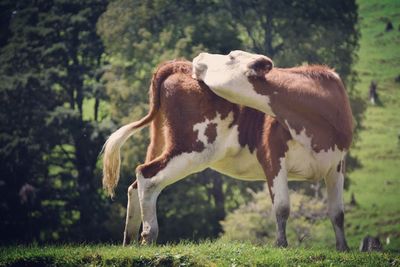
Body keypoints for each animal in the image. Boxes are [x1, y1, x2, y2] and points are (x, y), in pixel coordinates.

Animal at [194, 49, 354, 251]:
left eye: (231, 56)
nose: (200, 56)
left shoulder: (338, 163)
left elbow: (337, 212)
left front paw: (343, 247)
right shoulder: (273, 157)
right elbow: (282, 206)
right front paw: (281, 243)